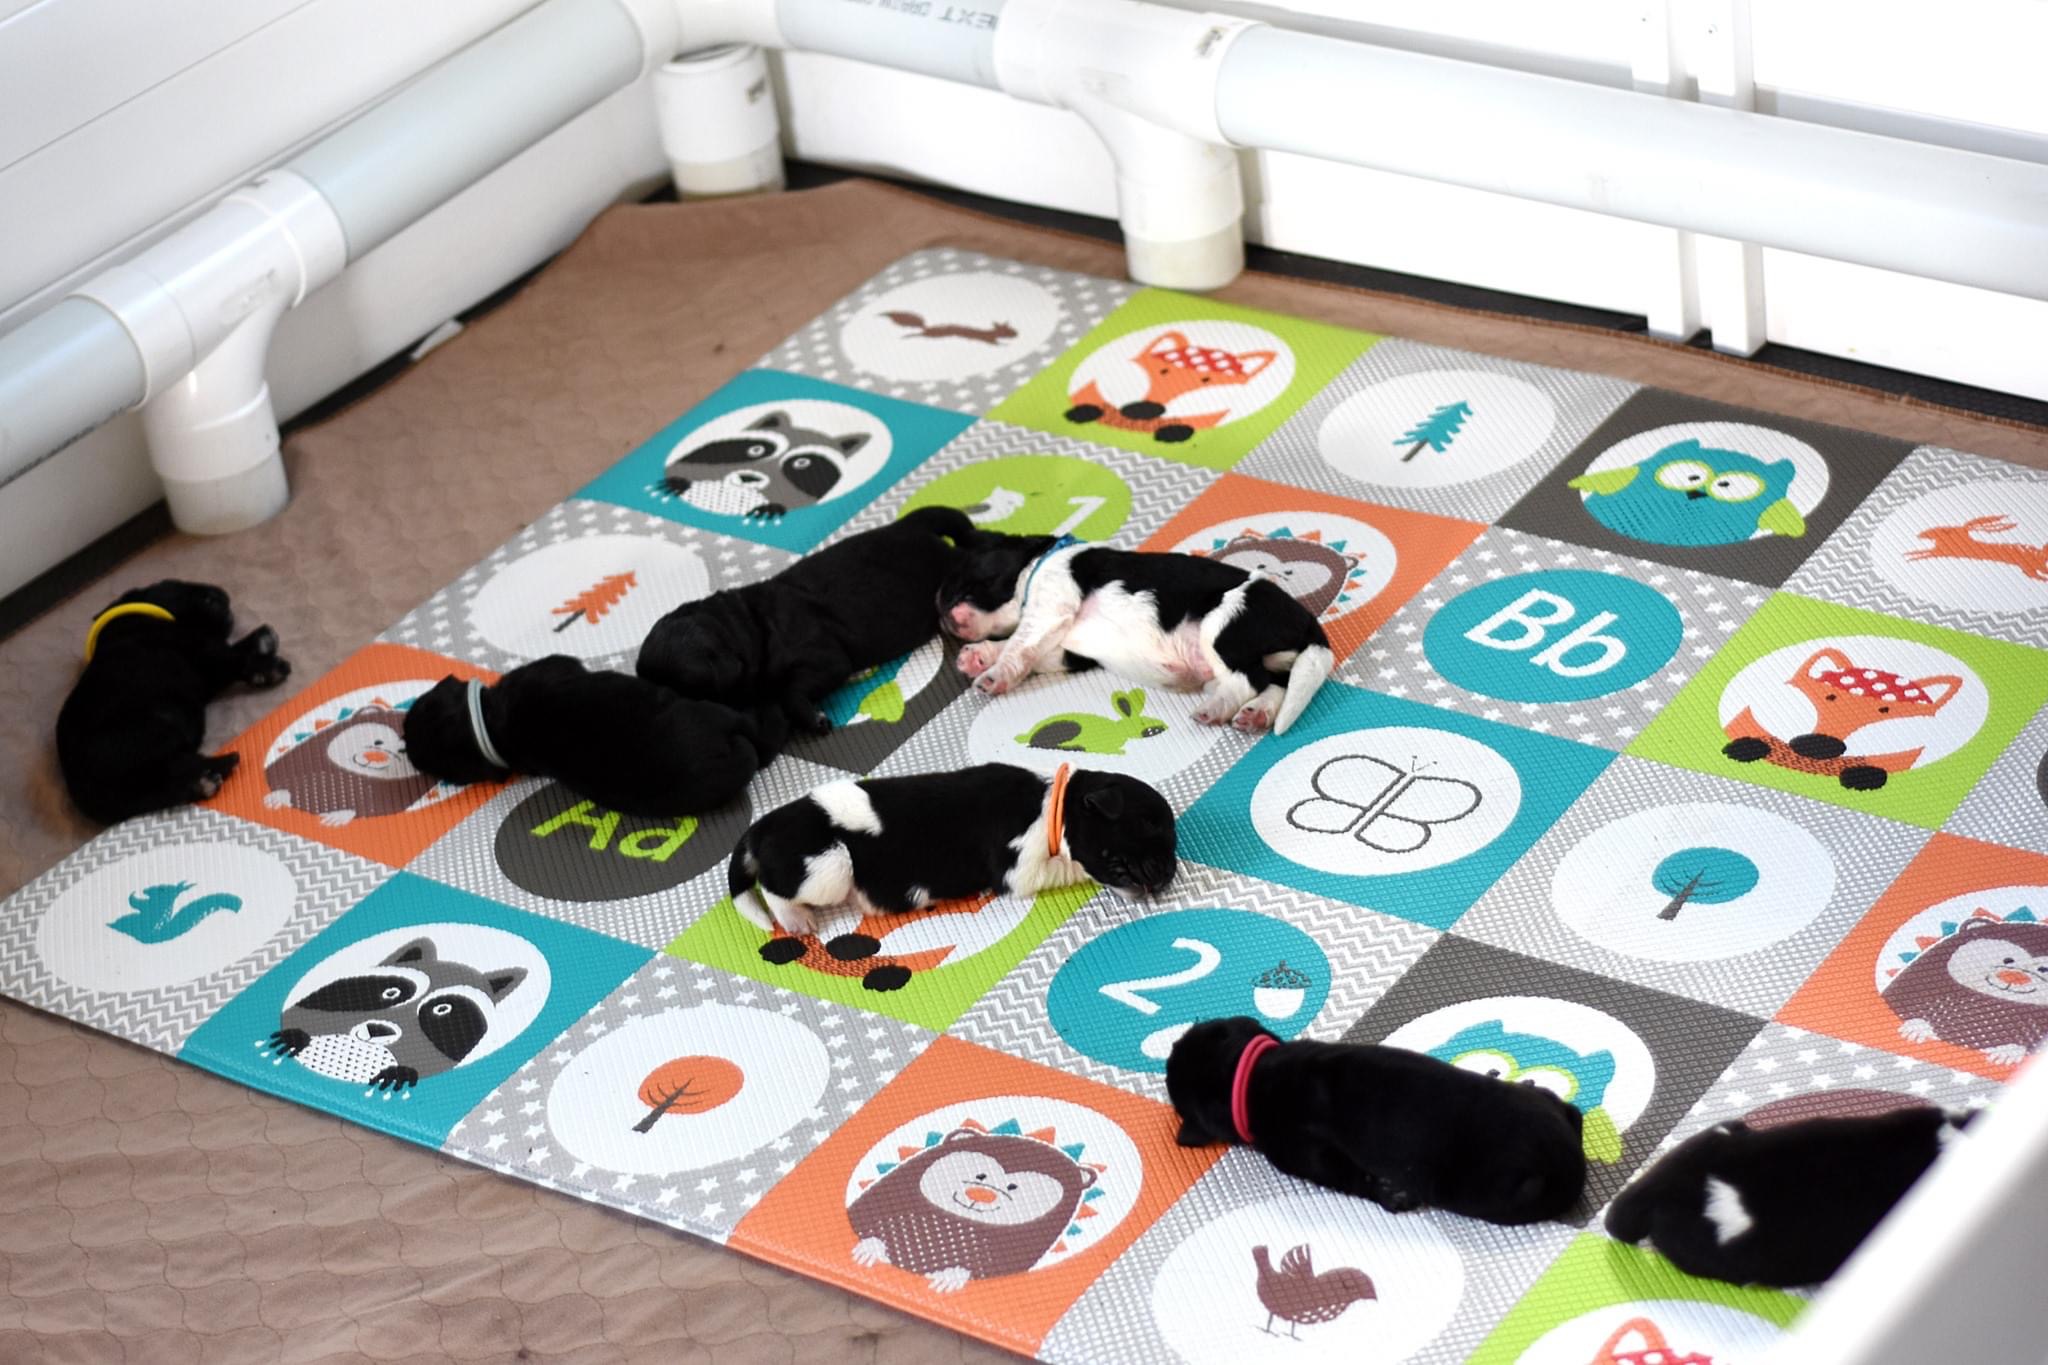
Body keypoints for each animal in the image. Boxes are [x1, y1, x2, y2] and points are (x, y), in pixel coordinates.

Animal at [56, 580, 292, 824]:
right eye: (204, 598)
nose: (222, 594)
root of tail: (83, 788)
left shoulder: (207, 675)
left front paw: (262, 640)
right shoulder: (203, 651)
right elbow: (234, 657)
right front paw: (267, 662)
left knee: (162, 785)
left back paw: (206, 779)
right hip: (156, 732)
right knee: (175, 767)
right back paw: (216, 771)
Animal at [638, 505, 997, 735]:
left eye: (694, 697)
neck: (749, 625)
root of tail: (911, 526)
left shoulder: (825, 661)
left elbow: (790, 692)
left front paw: (812, 718)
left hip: (946, 568)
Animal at [727, 762, 1176, 936]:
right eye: (1149, 829)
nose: (1170, 873)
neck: (1054, 806)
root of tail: (759, 828)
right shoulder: (1020, 870)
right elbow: (1064, 868)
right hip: (829, 865)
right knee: (775, 890)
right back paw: (796, 920)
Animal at [937, 536, 1335, 735]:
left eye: (962, 578)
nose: (938, 605)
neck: (1035, 564)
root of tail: (1308, 622)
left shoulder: (1050, 607)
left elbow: (1019, 645)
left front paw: (992, 673)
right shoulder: (1067, 650)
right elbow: (1022, 648)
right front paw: (978, 655)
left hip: (1223, 626)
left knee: (1247, 680)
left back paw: (1215, 709)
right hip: (1269, 658)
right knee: (1274, 685)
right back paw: (1255, 715)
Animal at [1168, 1018, 1587, 1226]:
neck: (1252, 1071)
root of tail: (1568, 1161)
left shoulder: (1301, 1154)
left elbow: (1346, 1175)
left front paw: (1390, 1194)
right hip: (1547, 1110)